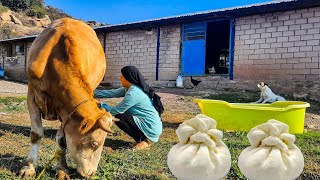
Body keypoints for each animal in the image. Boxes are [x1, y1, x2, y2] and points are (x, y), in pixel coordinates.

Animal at [19, 17, 114, 178]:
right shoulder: (32, 94)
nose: (91, 173)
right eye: (95, 143)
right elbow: (36, 134)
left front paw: (62, 168)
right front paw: (29, 167)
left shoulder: (67, 112)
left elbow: (62, 139)